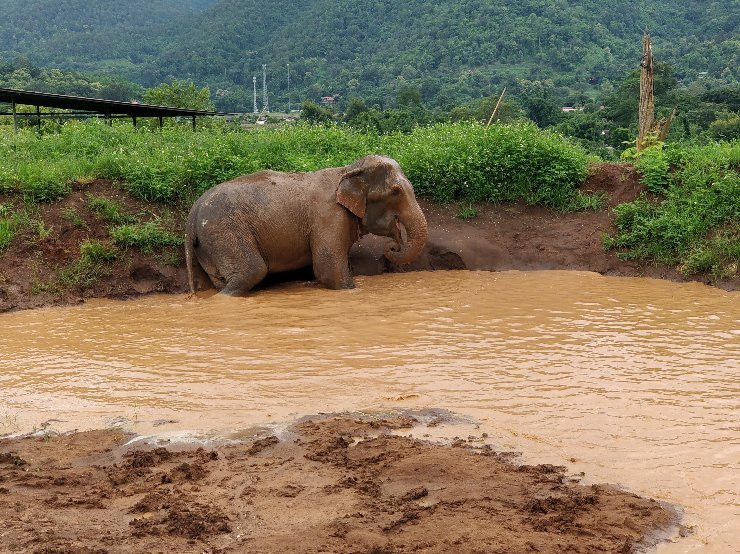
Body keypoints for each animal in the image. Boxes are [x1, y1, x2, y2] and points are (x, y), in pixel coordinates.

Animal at [185, 153, 428, 296]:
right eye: (395, 192)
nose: (392, 246)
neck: (347, 170)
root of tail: (193, 212)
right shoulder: (328, 216)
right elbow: (328, 269)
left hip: (209, 244)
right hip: (224, 230)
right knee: (251, 271)